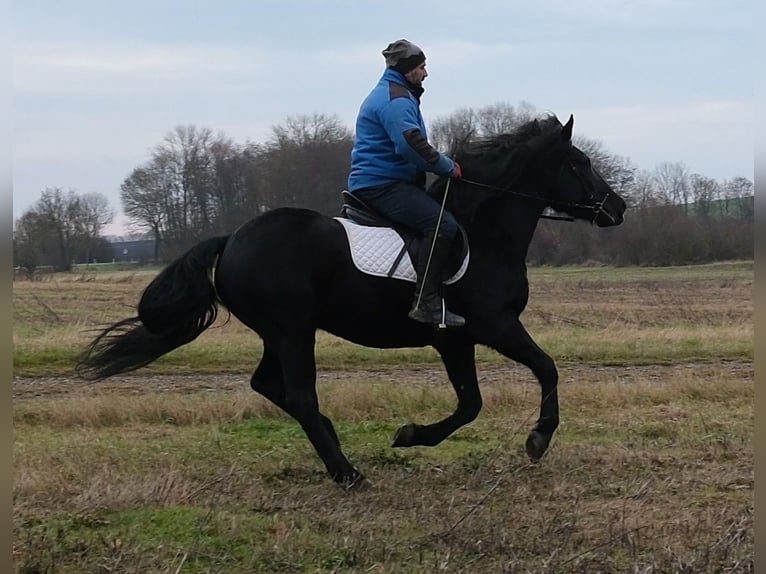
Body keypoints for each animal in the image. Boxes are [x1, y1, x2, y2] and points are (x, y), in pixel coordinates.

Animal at [77, 114, 627, 487]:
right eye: (580, 162)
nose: (618, 208)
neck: (484, 229)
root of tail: (232, 239)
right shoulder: (494, 325)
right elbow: (547, 368)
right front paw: (538, 439)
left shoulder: (456, 340)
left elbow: (470, 403)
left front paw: (410, 435)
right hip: (292, 331)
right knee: (299, 394)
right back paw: (347, 472)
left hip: (281, 333)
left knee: (269, 386)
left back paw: (335, 446)